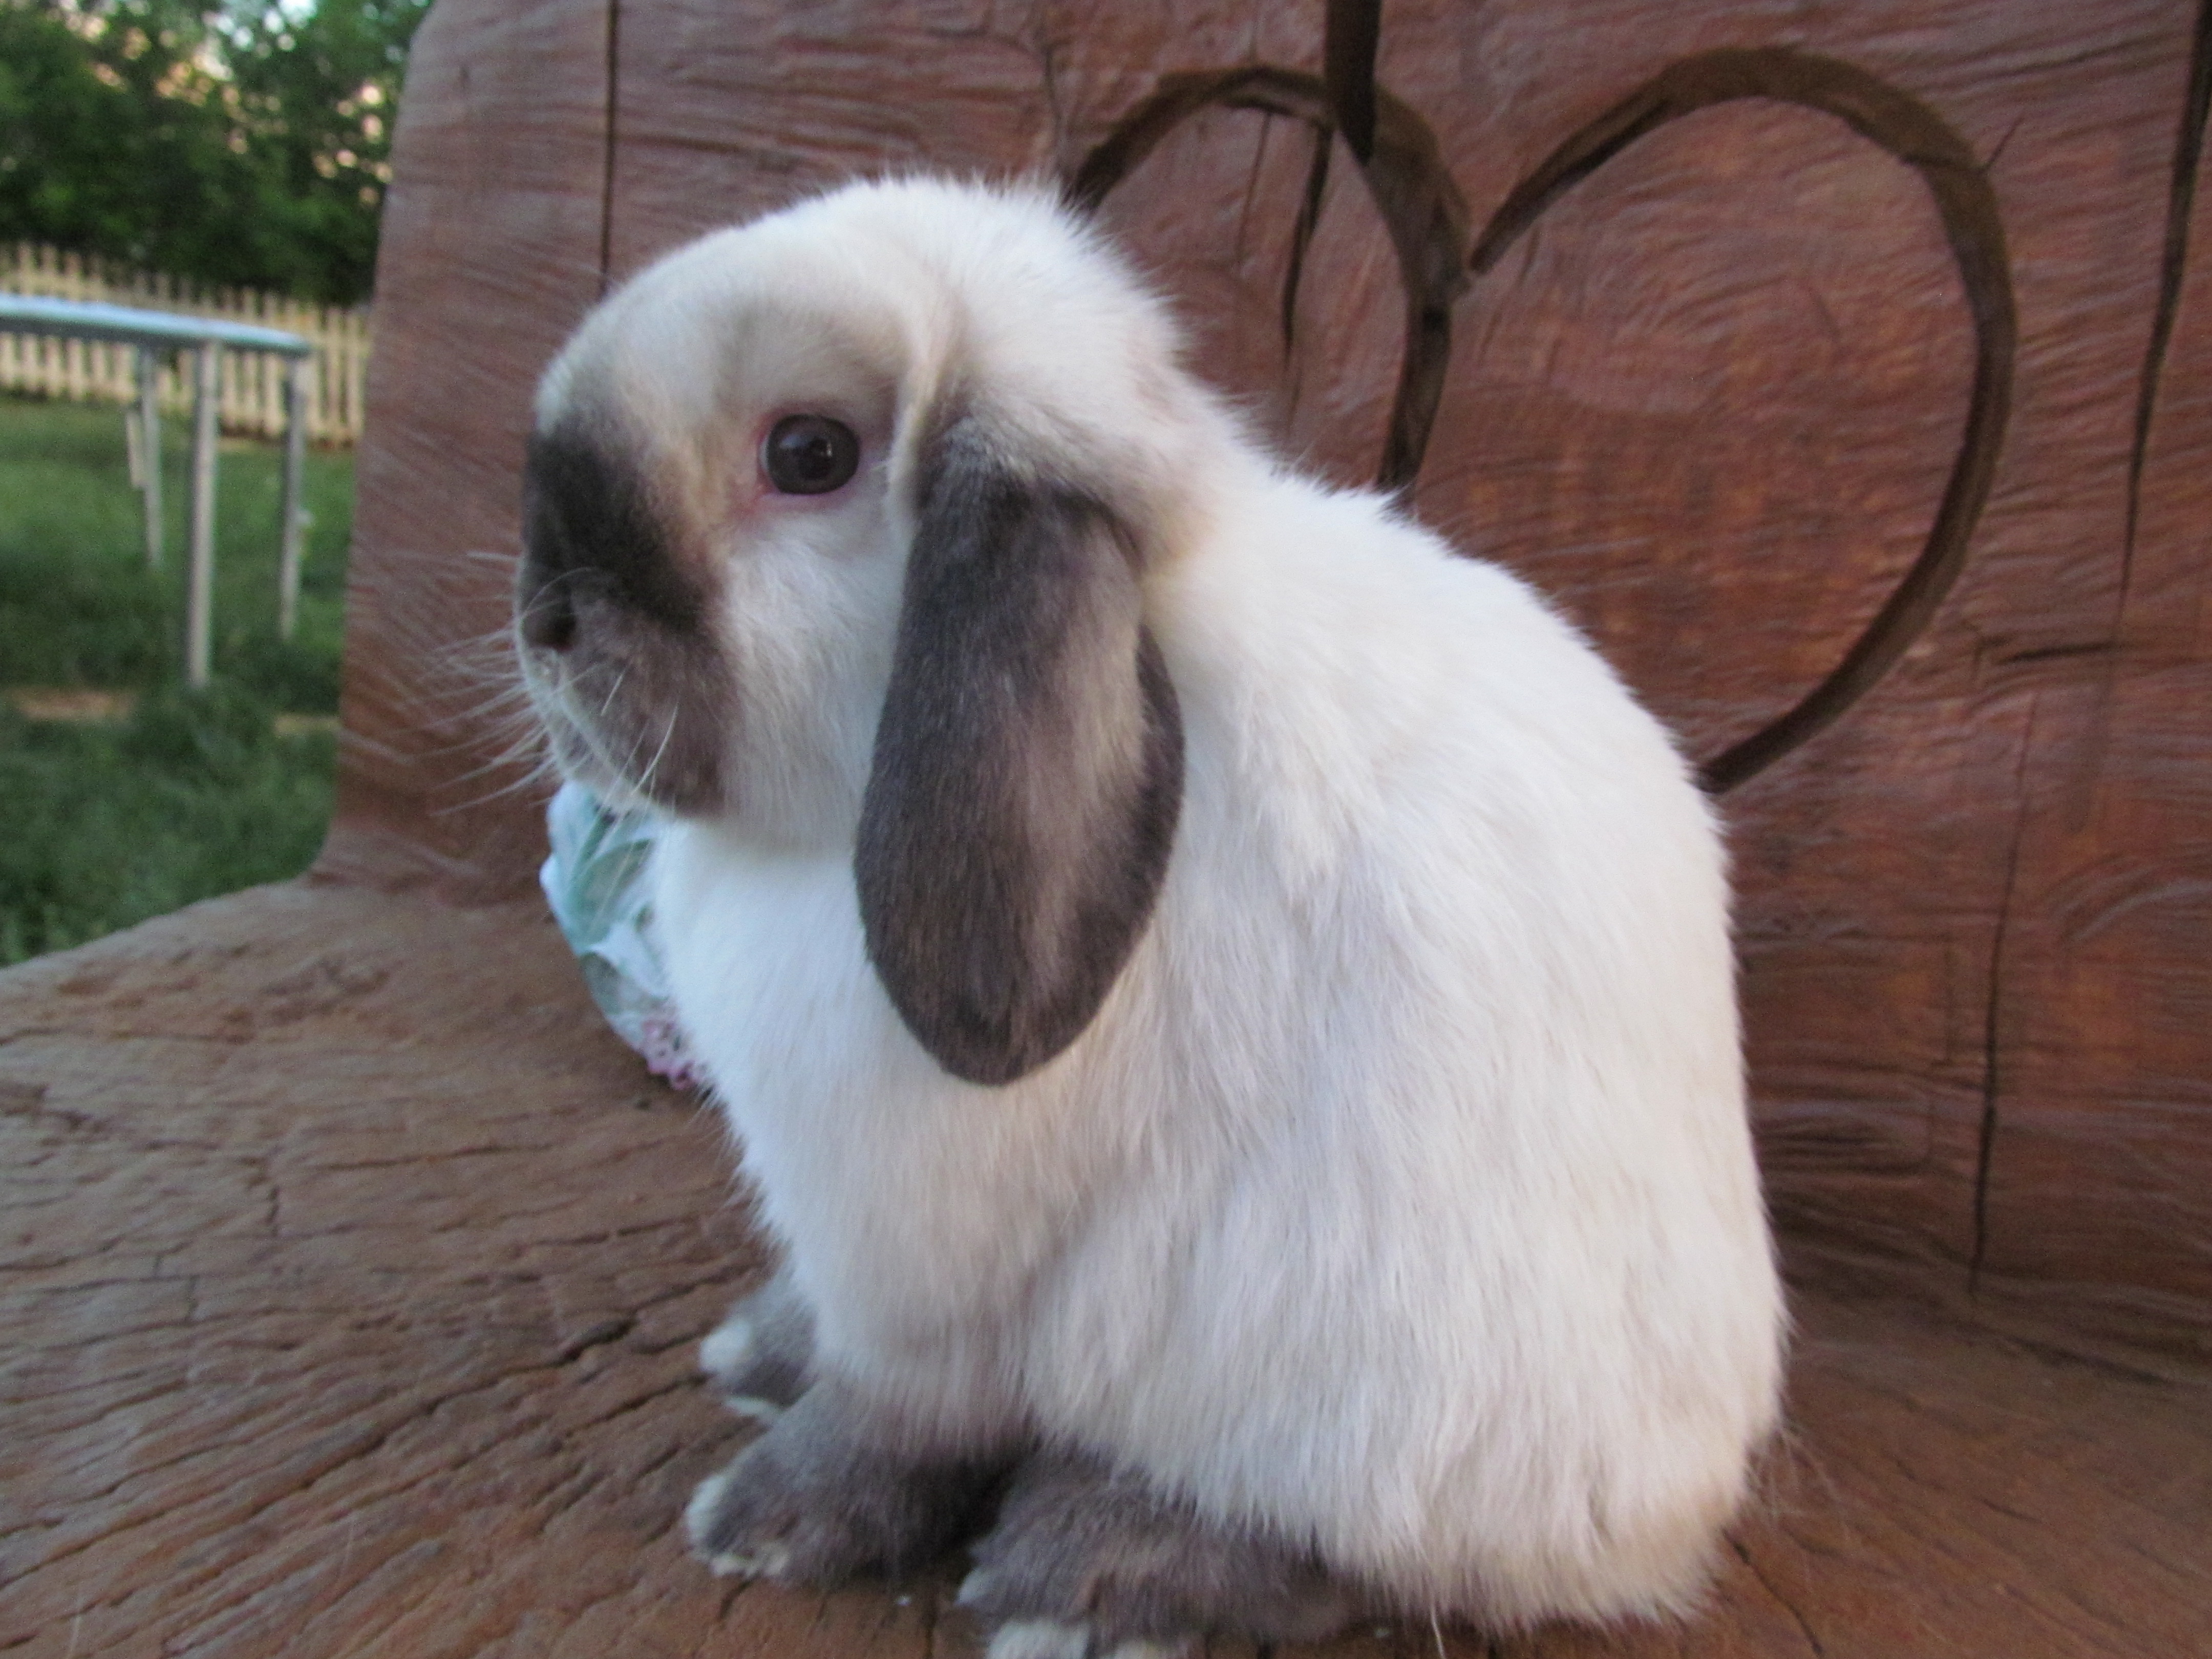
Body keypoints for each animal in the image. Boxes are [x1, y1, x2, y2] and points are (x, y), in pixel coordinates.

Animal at [517, 179, 1778, 1659]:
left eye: (810, 453)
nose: (546, 618)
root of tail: (1677, 1512)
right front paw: (761, 1359)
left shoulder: (920, 1275)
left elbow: (890, 1424)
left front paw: (759, 1521)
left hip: (1351, 1409)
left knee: (1332, 1559)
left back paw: (1089, 1574)